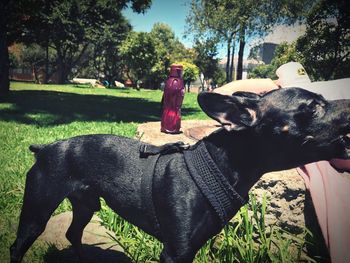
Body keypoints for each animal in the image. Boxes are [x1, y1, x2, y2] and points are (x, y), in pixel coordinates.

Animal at [9, 87, 348, 262]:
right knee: (19, 245)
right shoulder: (175, 252)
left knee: (73, 233)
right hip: (37, 210)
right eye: (313, 106)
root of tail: (46, 148)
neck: (221, 165)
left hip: (86, 205)